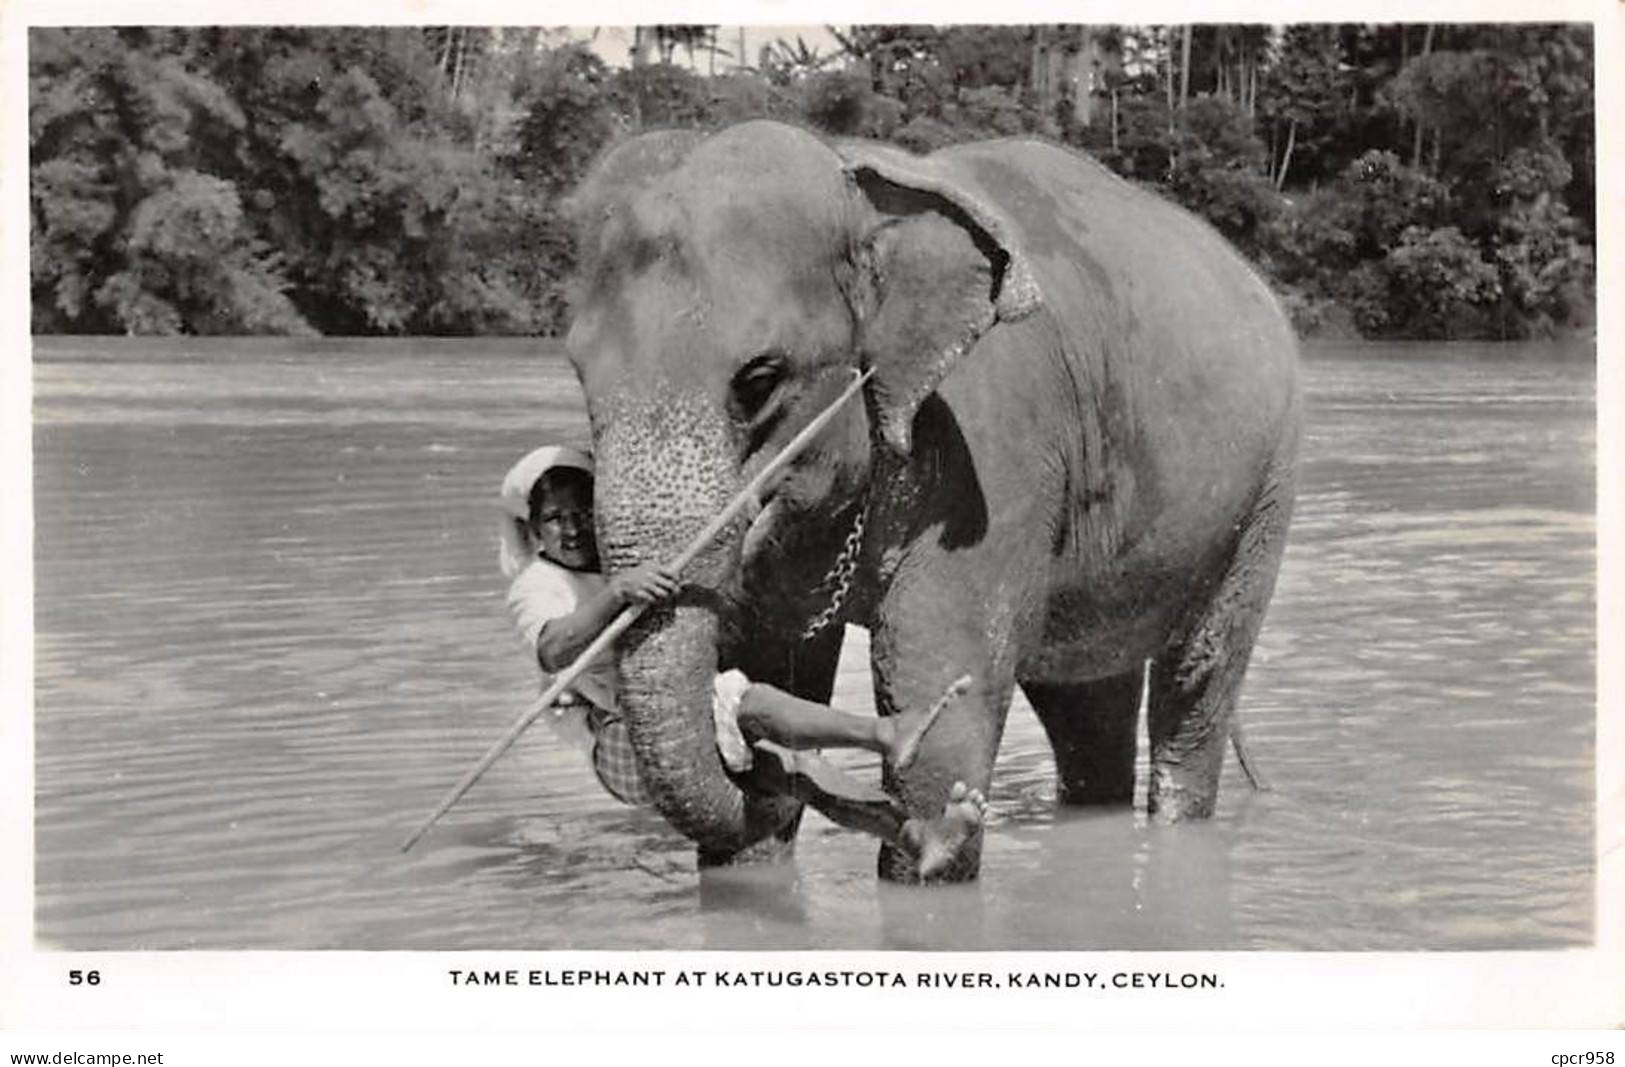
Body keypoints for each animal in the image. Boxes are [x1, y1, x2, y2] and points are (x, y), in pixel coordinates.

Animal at [565, 118, 1300, 883]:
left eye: (759, 378)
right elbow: (775, 663)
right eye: (578, 372)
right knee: (1086, 704)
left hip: (1263, 492)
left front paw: (931, 844)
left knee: (1199, 678)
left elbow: (939, 678)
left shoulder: (994, 453)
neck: (854, 180)